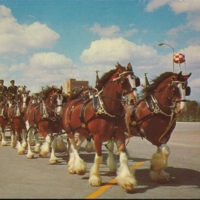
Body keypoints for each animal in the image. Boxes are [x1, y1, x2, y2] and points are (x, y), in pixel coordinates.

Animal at [61, 63, 140, 192]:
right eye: (123, 81)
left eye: (135, 80)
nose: (134, 100)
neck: (106, 109)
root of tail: (70, 103)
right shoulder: (97, 137)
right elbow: (98, 158)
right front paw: (94, 179)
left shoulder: (119, 135)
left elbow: (123, 157)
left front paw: (127, 181)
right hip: (70, 131)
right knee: (73, 146)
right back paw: (78, 167)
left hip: (82, 132)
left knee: (76, 146)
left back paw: (73, 166)